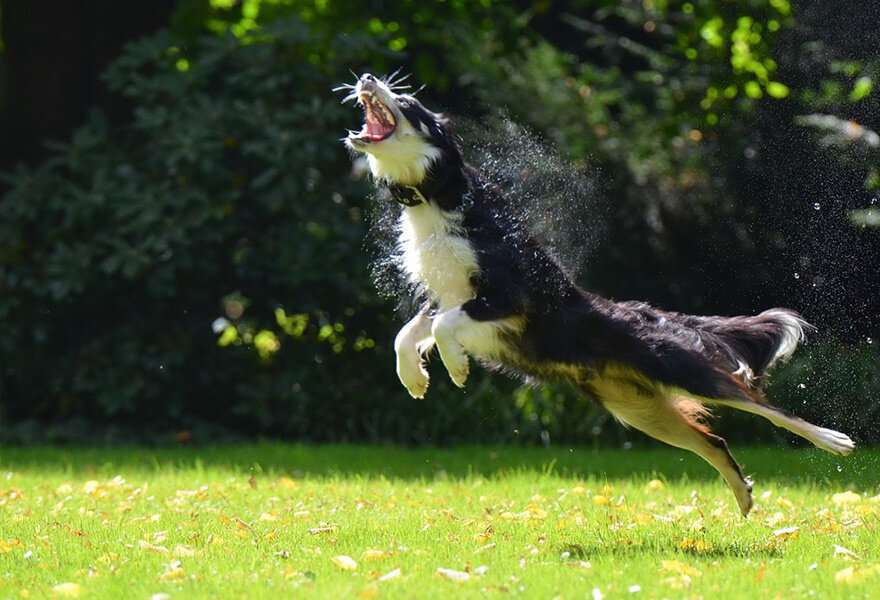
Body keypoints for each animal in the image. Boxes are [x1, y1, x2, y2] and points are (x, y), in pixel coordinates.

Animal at [336, 71, 852, 516]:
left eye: (406, 102)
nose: (367, 77)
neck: (438, 196)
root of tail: (652, 314)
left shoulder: (510, 296)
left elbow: (444, 326)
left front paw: (457, 367)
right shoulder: (447, 295)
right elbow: (408, 332)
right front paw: (415, 378)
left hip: (683, 372)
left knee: (765, 407)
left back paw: (833, 440)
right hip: (641, 411)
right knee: (714, 441)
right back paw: (742, 496)